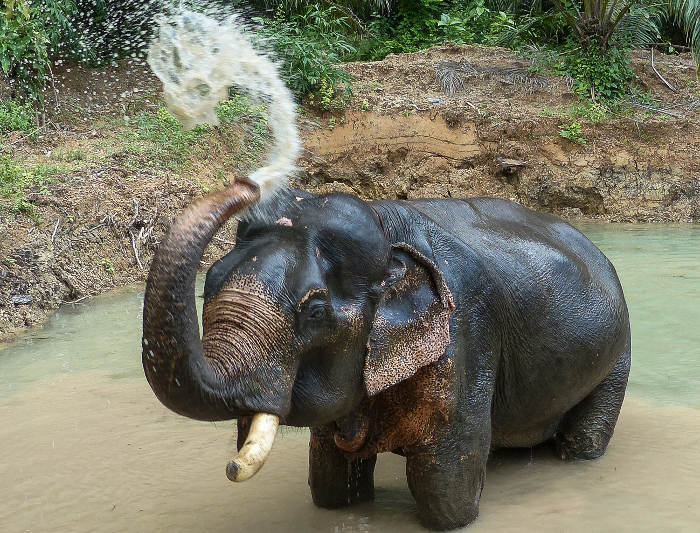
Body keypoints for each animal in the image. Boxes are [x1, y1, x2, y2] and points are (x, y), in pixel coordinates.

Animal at [142, 178, 630, 530]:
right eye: (209, 282)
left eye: (315, 311)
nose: (247, 183)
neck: (385, 228)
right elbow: (331, 483)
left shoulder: (466, 332)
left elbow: (443, 486)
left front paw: (454, 511)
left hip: (619, 352)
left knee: (583, 439)